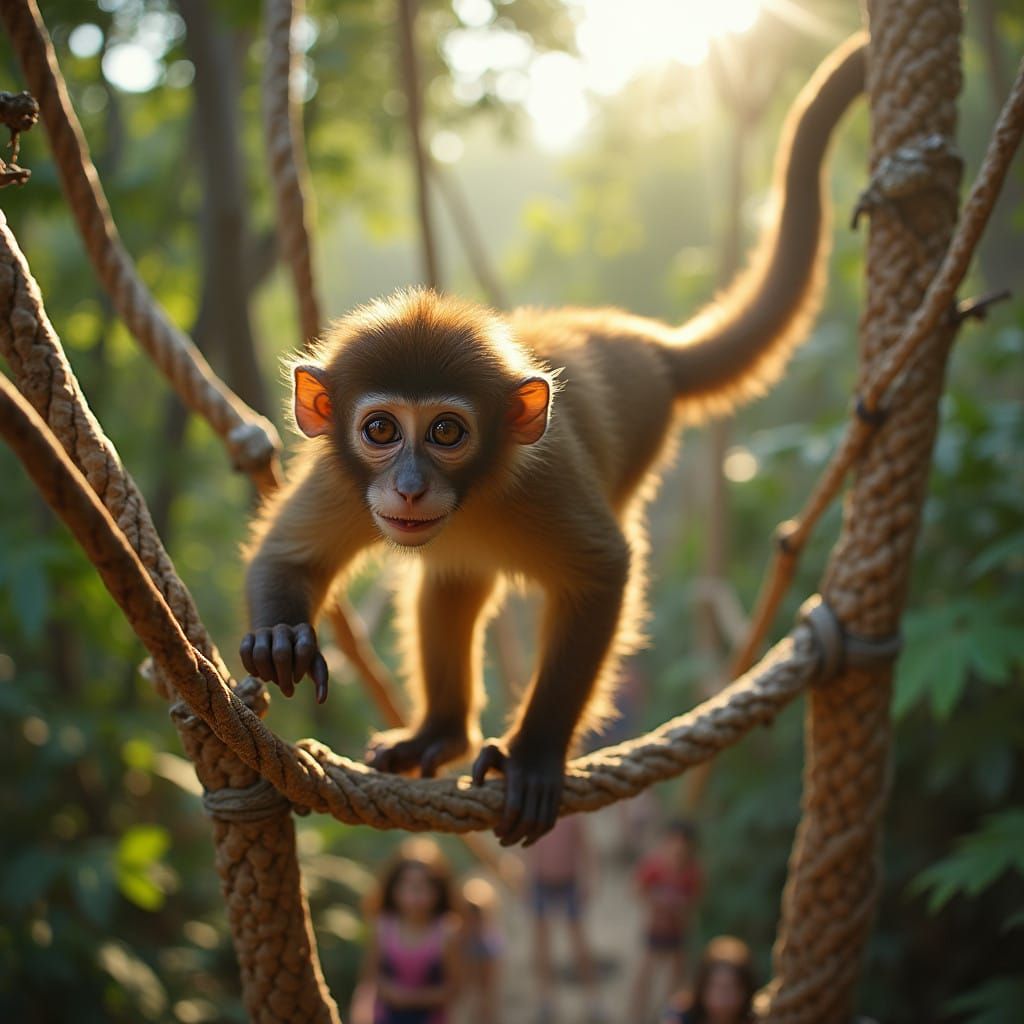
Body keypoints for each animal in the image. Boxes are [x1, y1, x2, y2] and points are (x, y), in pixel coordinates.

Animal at [240, 36, 865, 846]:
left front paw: (534, 758)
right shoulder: (341, 477)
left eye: (446, 431)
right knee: (452, 580)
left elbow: (602, 574)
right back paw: (440, 733)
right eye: (379, 429)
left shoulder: (543, 477)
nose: (409, 485)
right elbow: (287, 555)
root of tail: (649, 348)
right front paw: (282, 639)